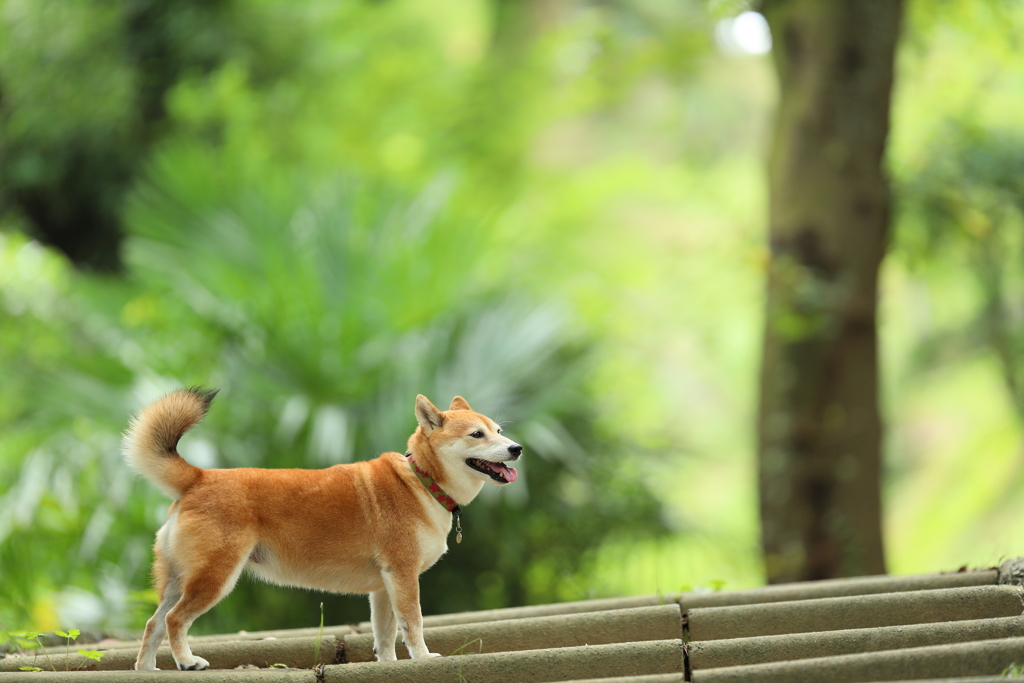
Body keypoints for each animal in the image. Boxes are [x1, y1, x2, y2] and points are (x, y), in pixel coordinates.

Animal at [123, 387, 520, 671]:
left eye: (499, 431)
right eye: (477, 434)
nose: (516, 448)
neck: (421, 482)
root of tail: (199, 478)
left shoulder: (384, 585)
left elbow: (386, 633)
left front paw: (387, 664)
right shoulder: (404, 575)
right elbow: (413, 623)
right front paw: (422, 658)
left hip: (179, 579)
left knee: (154, 624)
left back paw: (146, 669)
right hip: (215, 577)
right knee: (174, 620)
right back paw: (187, 662)